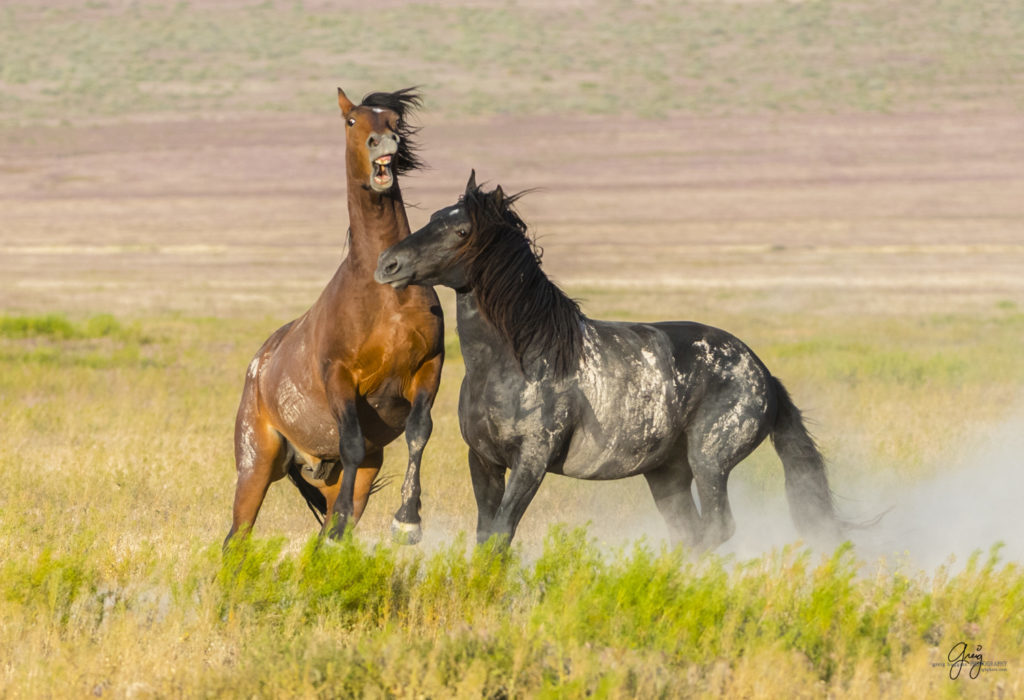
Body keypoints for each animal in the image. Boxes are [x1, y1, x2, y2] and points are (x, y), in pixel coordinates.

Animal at [226, 89, 442, 548]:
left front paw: (407, 521)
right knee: (235, 538)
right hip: (255, 464)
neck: (384, 290)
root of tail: (257, 367)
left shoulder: (428, 367)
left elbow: (419, 432)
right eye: (352, 121)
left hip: (345, 475)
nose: (385, 143)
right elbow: (352, 441)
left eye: (394, 118)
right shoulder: (340, 377)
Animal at [376, 171, 847, 548]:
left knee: (716, 529)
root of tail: (764, 374)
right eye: (433, 216)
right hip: (667, 473)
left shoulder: (531, 463)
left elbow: (501, 534)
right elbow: (485, 537)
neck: (513, 364)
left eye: (460, 230)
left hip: (709, 462)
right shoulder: (484, 461)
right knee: (691, 533)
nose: (387, 264)